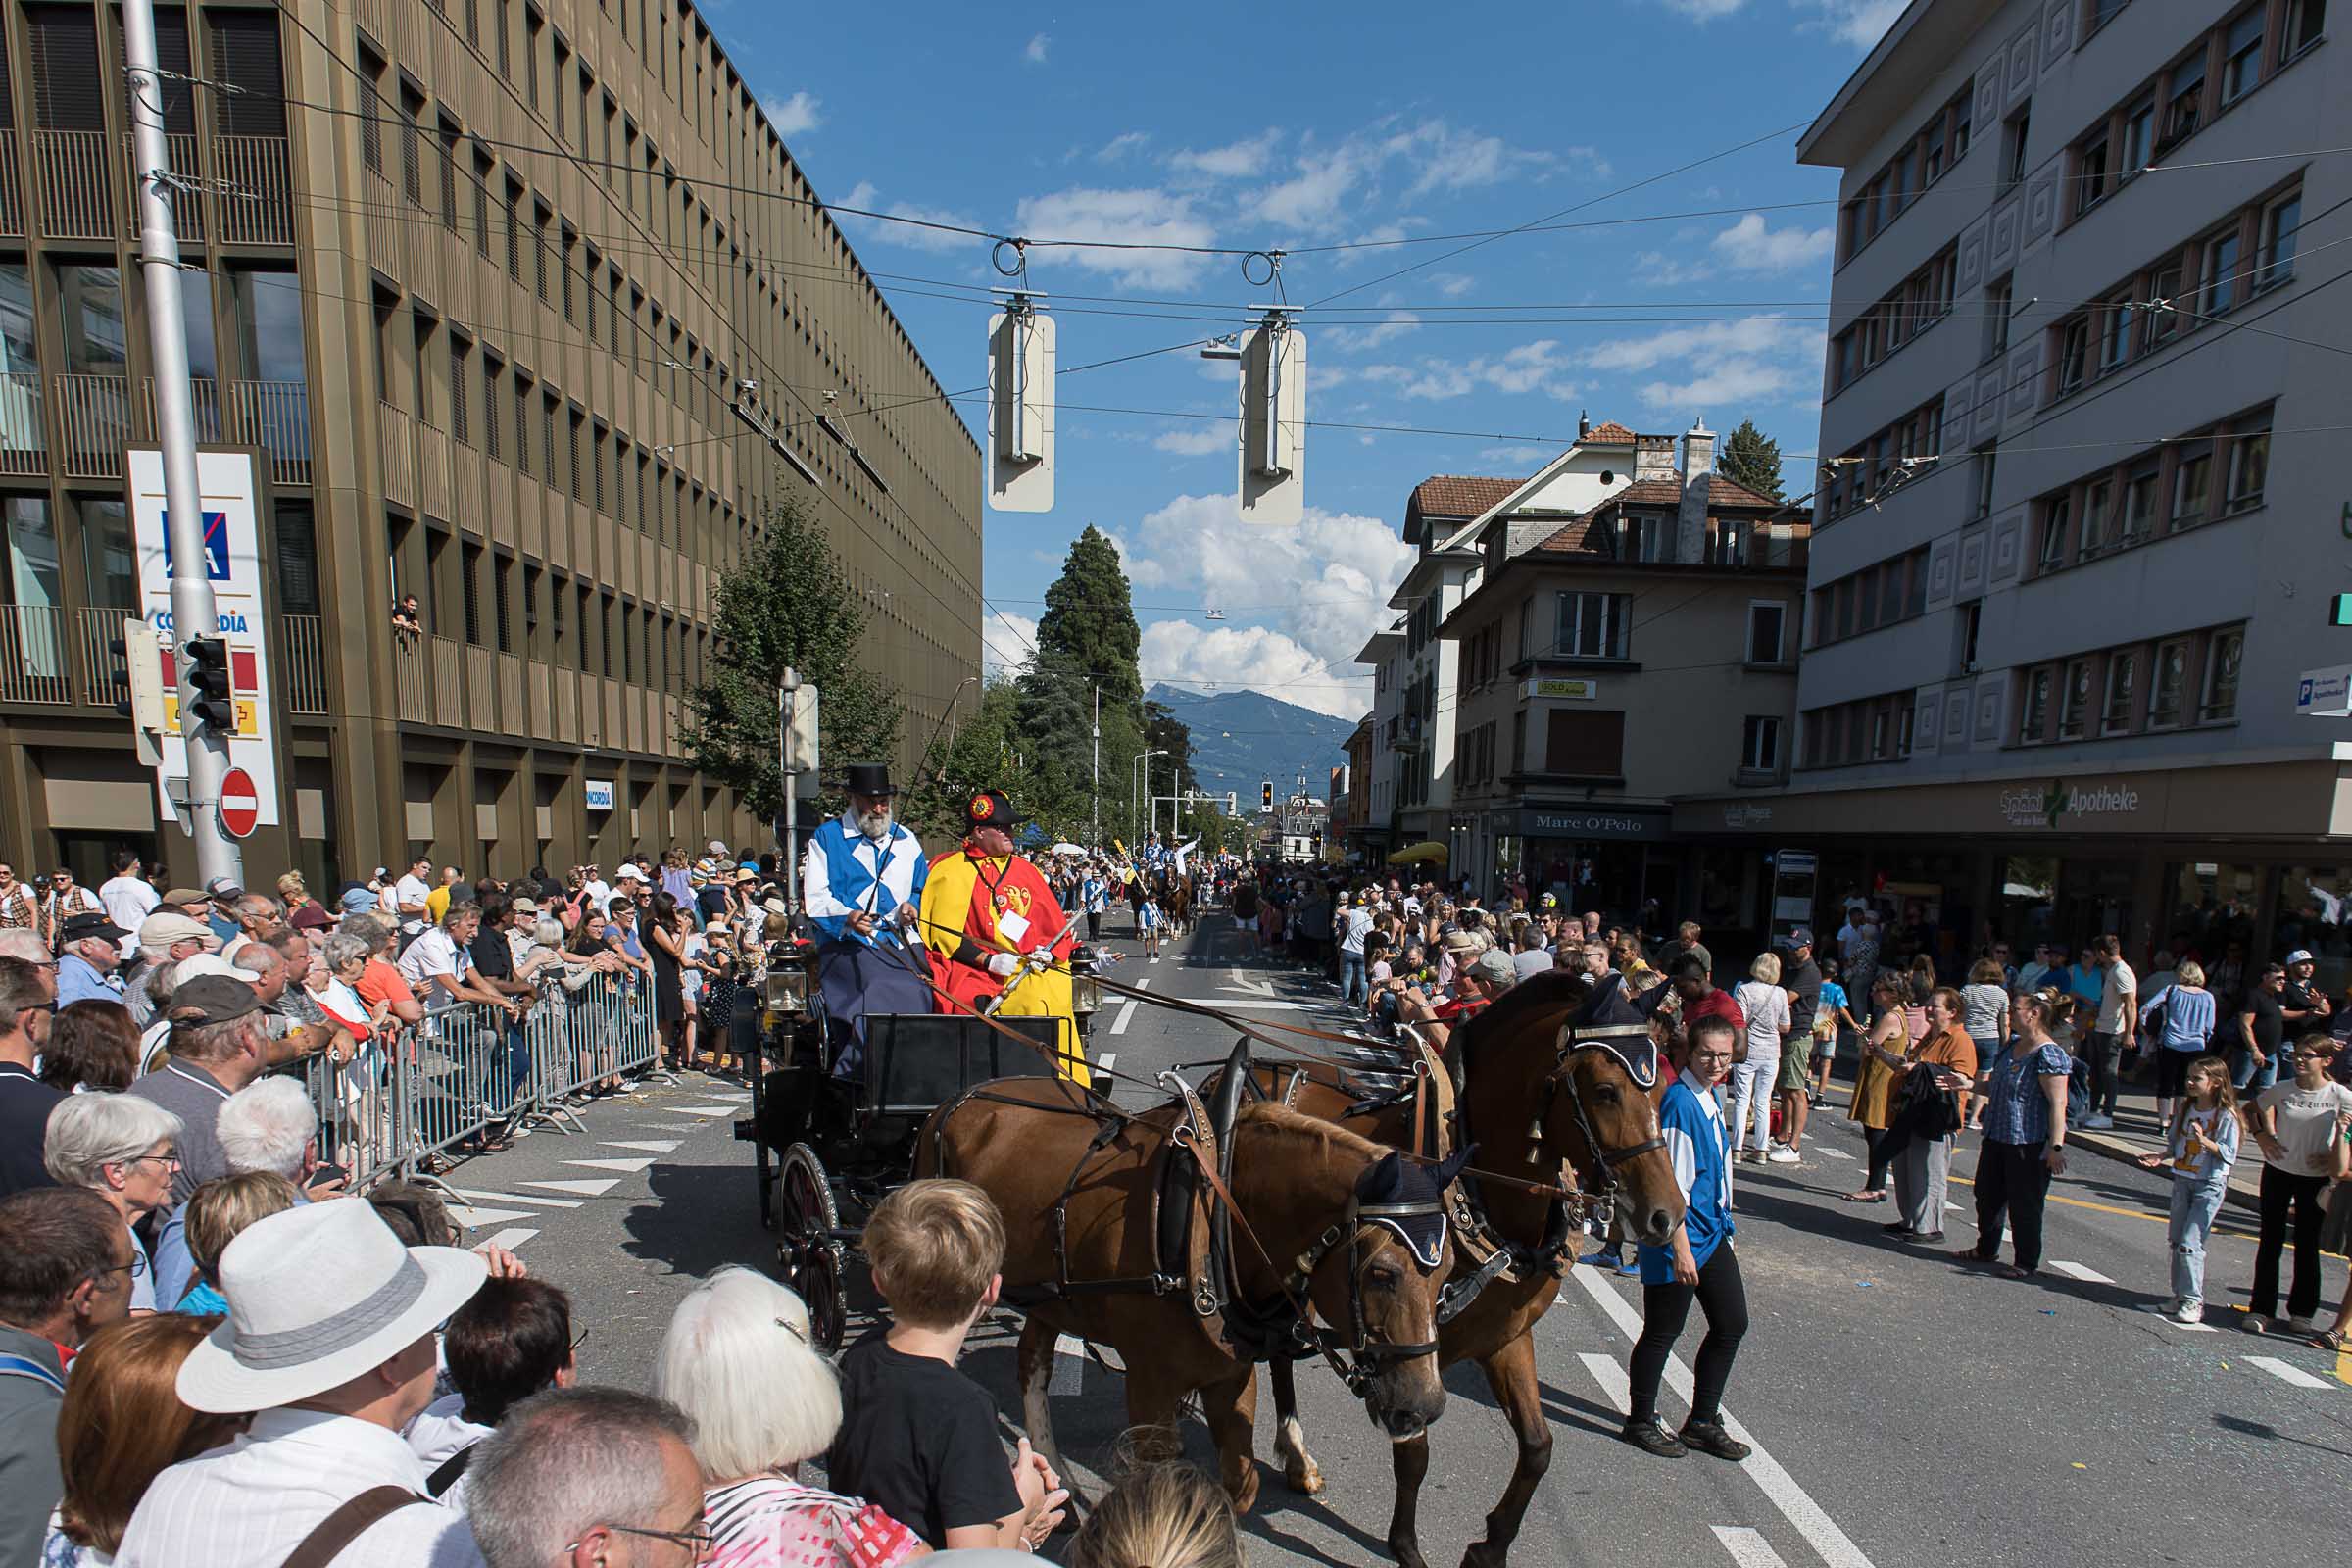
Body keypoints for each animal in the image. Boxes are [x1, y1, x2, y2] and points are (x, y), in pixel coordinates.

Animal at [917, 1081, 1448, 1504]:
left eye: (1445, 1275)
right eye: (1382, 1273)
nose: (1425, 1406)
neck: (1212, 1212)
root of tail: (953, 1101)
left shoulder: (1230, 1374)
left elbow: (1240, 1485)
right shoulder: (1148, 1384)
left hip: (1048, 1297)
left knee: (1032, 1362)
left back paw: (1057, 1478)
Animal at [1242, 973, 1684, 1560]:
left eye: (1661, 1091)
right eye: (1606, 1091)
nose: (1666, 1215)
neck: (1476, 1191)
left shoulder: (1506, 1337)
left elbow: (1539, 1446)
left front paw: (1491, 1544)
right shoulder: (1410, 1347)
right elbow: (1414, 1453)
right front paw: (1405, 1545)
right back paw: (1295, 1455)